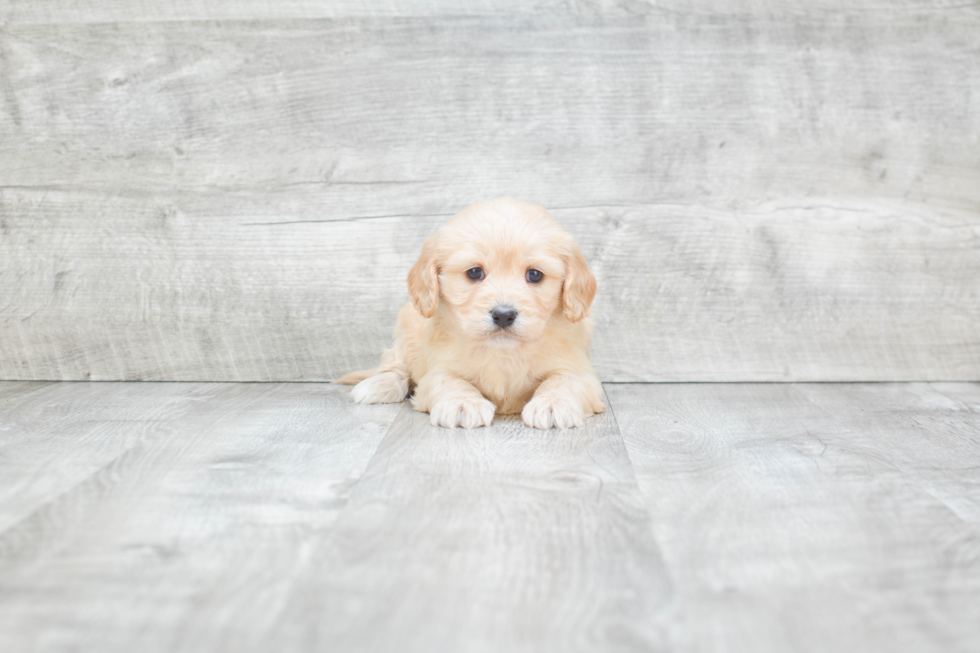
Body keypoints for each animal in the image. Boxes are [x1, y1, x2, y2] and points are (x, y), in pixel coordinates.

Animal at [340, 195, 608, 428]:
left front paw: (553, 404)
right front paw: (463, 404)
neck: (503, 352)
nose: (503, 315)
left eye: (534, 274)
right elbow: (449, 382)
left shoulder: (579, 369)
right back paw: (378, 385)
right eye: (474, 272)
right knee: (395, 365)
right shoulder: (438, 369)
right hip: (407, 329)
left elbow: (564, 380)